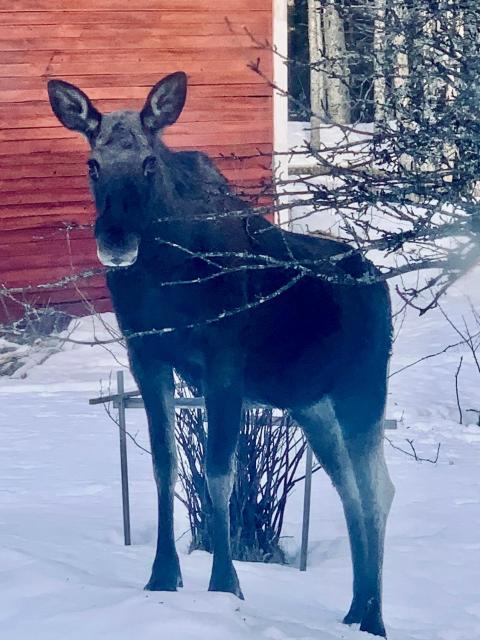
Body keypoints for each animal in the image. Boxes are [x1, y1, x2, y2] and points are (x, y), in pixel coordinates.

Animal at [47, 74, 394, 636]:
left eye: (149, 162)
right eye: (92, 164)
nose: (116, 240)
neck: (161, 282)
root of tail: (379, 281)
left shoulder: (223, 362)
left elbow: (218, 472)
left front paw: (225, 584)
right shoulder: (146, 356)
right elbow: (165, 466)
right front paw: (162, 577)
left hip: (362, 387)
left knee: (378, 490)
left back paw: (375, 619)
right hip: (313, 405)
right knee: (350, 491)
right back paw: (355, 610)